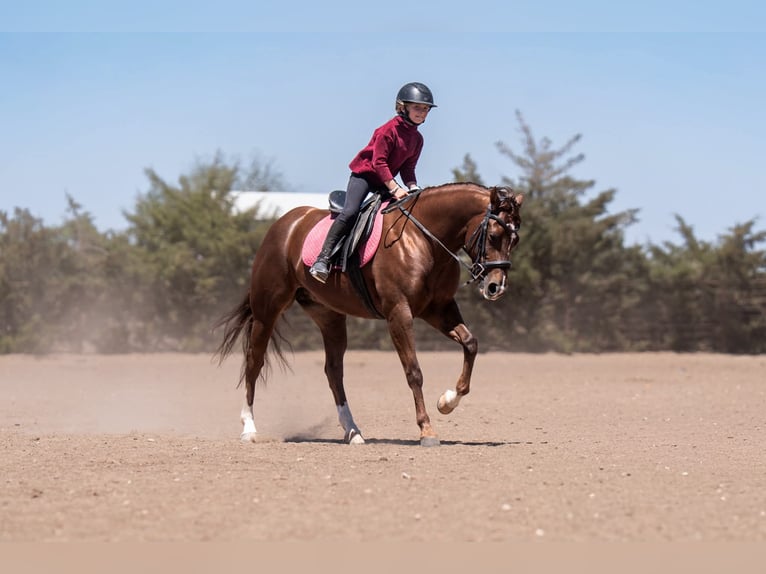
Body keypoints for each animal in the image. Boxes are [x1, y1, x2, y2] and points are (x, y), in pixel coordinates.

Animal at [214, 182, 523, 446]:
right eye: (494, 236)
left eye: (515, 240)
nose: (496, 287)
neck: (424, 240)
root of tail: (285, 223)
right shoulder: (399, 313)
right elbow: (414, 371)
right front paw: (427, 429)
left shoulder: (439, 309)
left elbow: (470, 344)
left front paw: (447, 401)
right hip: (267, 310)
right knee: (254, 362)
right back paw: (249, 429)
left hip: (329, 316)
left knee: (333, 370)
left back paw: (353, 431)